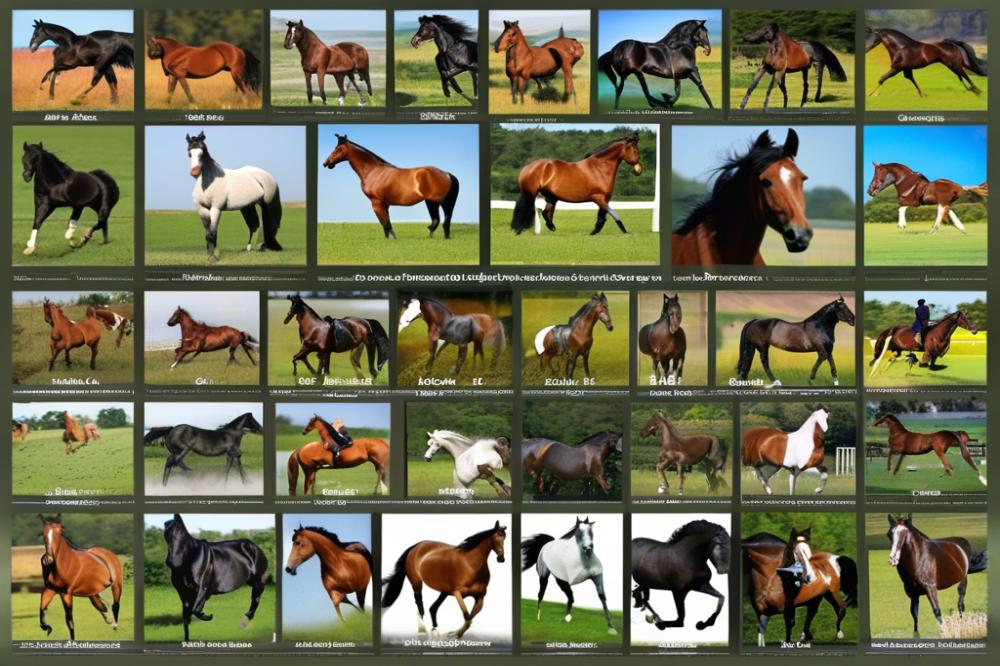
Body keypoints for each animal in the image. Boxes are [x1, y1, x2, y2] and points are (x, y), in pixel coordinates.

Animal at [186, 132, 282, 262]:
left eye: (202, 153)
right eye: (189, 153)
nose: (195, 172)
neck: (207, 182)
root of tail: (269, 176)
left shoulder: (216, 208)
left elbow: (212, 233)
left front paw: (213, 258)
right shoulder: (201, 209)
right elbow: (208, 234)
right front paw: (210, 256)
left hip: (266, 204)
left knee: (267, 224)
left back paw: (264, 247)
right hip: (248, 207)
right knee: (254, 225)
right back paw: (249, 249)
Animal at [322, 134, 460, 240]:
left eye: (338, 149)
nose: (326, 163)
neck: (373, 171)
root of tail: (447, 174)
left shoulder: (376, 202)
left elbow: (385, 224)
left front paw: (392, 239)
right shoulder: (385, 204)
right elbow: (387, 222)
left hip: (433, 202)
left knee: (437, 220)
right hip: (438, 202)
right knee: (443, 220)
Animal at [510, 133, 643, 236]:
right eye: (635, 150)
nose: (638, 170)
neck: (599, 168)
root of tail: (527, 167)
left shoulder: (605, 198)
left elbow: (602, 215)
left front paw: (594, 232)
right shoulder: (598, 197)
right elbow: (614, 213)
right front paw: (624, 231)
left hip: (551, 197)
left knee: (545, 212)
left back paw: (551, 227)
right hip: (531, 193)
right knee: (525, 210)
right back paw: (519, 230)